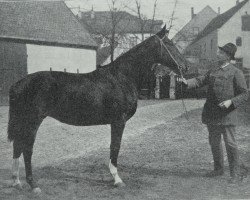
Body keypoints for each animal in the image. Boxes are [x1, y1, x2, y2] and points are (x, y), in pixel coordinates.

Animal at [7, 25, 188, 194]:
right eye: (169, 43)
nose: (185, 67)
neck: (122, 77)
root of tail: (19, 84)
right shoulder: (118, 121)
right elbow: (115, 147)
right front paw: (117, 179)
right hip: (33, 120)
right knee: (27, 149)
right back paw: (33, 185)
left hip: (23, 121)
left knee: (17, 146)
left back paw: (17, 182)